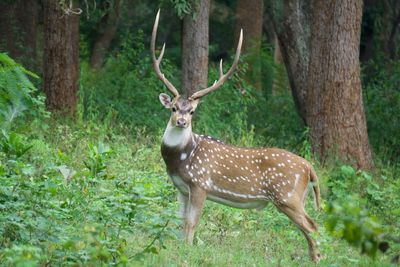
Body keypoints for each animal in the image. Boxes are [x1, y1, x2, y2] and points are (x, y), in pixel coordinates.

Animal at [150, 10, 322, 264]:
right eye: (173, 108)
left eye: (192, 111)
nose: (181, 121)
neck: (180, 158)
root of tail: (309, 168)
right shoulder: (180, 187)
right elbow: (180, 222)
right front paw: (180, 248)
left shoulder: (201, 184)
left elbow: (192, 223)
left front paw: (188, 252)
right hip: (297, 198)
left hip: (287, 195)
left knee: (312, 226)